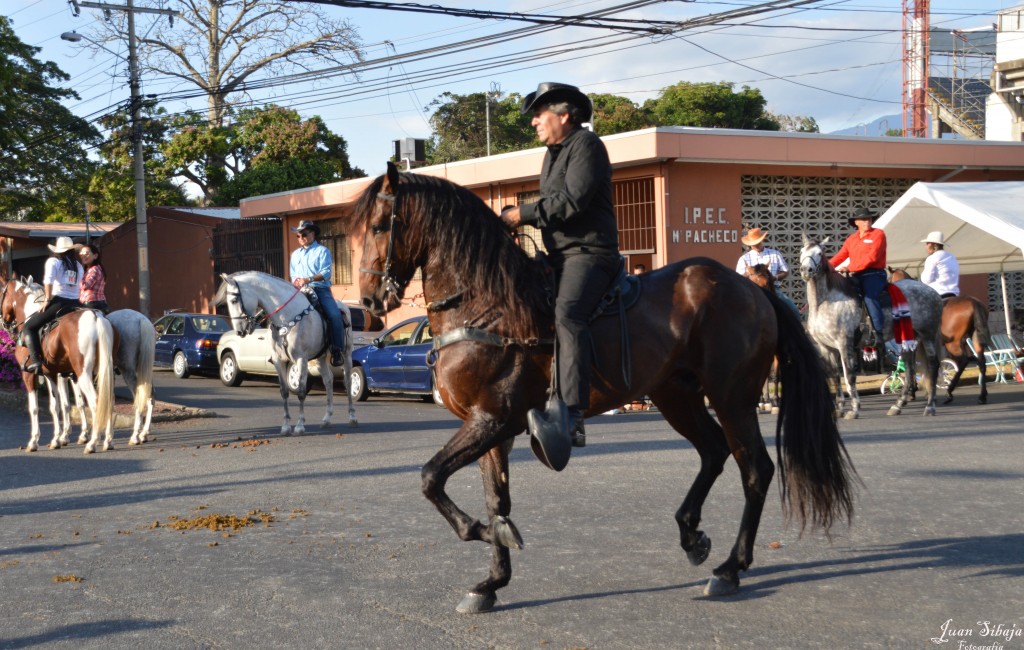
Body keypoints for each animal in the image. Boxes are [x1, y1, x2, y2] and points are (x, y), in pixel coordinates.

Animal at [211, 272, 356, 434]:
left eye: (234, 300)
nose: (239, 331)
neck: (286, 318)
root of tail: (344, 307)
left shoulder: (301, 359)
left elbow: (301, 391)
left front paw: (300, 425)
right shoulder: (278, 360)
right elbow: (284, 391)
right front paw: (286, 426)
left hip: (346, 354)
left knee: (348, 381)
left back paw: (352, 417)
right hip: (320, 358)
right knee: (328, 380)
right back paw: (326, 419)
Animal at [352, 164, 856, 614]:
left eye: (379, 226)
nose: (370, 302)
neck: (486, 307)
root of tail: (753, 290)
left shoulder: (492, 420)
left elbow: (430, 478)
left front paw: (483, 534)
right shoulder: (490, 428)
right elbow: (494, 500)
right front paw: (492, 579)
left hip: (732, 398)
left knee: (755, 469)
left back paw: (731, 568)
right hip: (677, 395)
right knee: (713, 452)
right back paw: (691, 533)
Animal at [888, 268, 991, 401]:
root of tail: (973, 302)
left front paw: (913, 391)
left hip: (952, 343)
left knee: (963, 361)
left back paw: (949, 392)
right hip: (975, 337)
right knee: (981, 362)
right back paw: (982, 395)